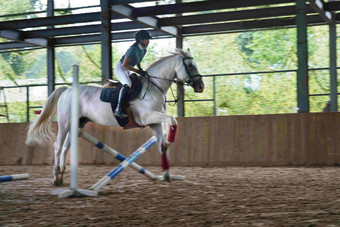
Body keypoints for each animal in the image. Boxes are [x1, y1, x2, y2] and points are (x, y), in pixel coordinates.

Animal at [25, 48, 205, 185]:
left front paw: (167, 175)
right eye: (190, 65)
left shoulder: (154, 122)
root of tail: (67, 90)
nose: (201, 86)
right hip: (65, 122)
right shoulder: (148, 117)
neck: (154, 87)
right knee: (58, 146)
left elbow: (163, 145)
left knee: (66, 147)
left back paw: (62, 175)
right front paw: (172, 137)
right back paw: (56, 177)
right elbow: (172, 120)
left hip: (78, 123)